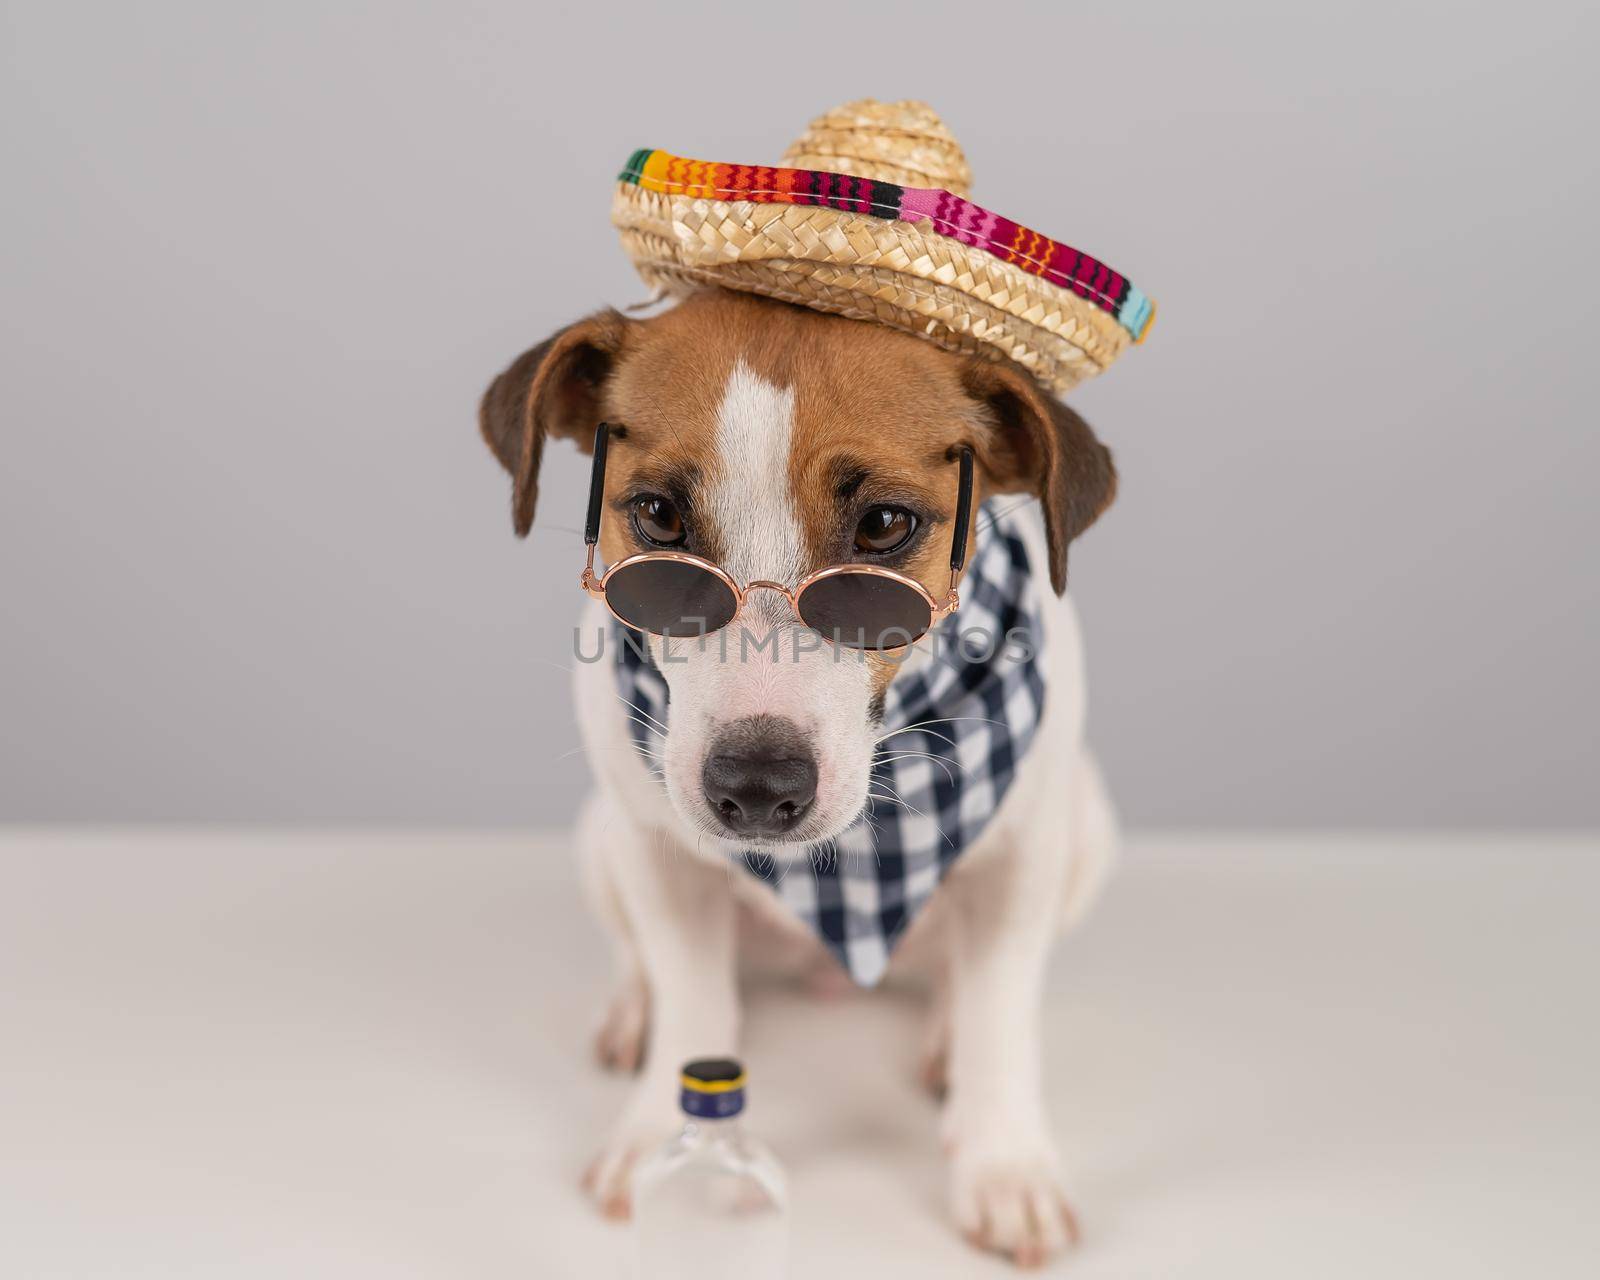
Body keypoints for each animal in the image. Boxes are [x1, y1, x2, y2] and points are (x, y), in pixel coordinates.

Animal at [480, 284, 1120, 1267]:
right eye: (658, 516)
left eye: (886, 526)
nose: (753, 789)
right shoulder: (658, 852)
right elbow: (691, 995)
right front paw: (658, 1138)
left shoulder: (1024, 850)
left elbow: (1001, 1009)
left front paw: (1005, 1166)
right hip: (602, 840)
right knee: (643, 957)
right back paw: (633, 1012)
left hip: (1087, 830)